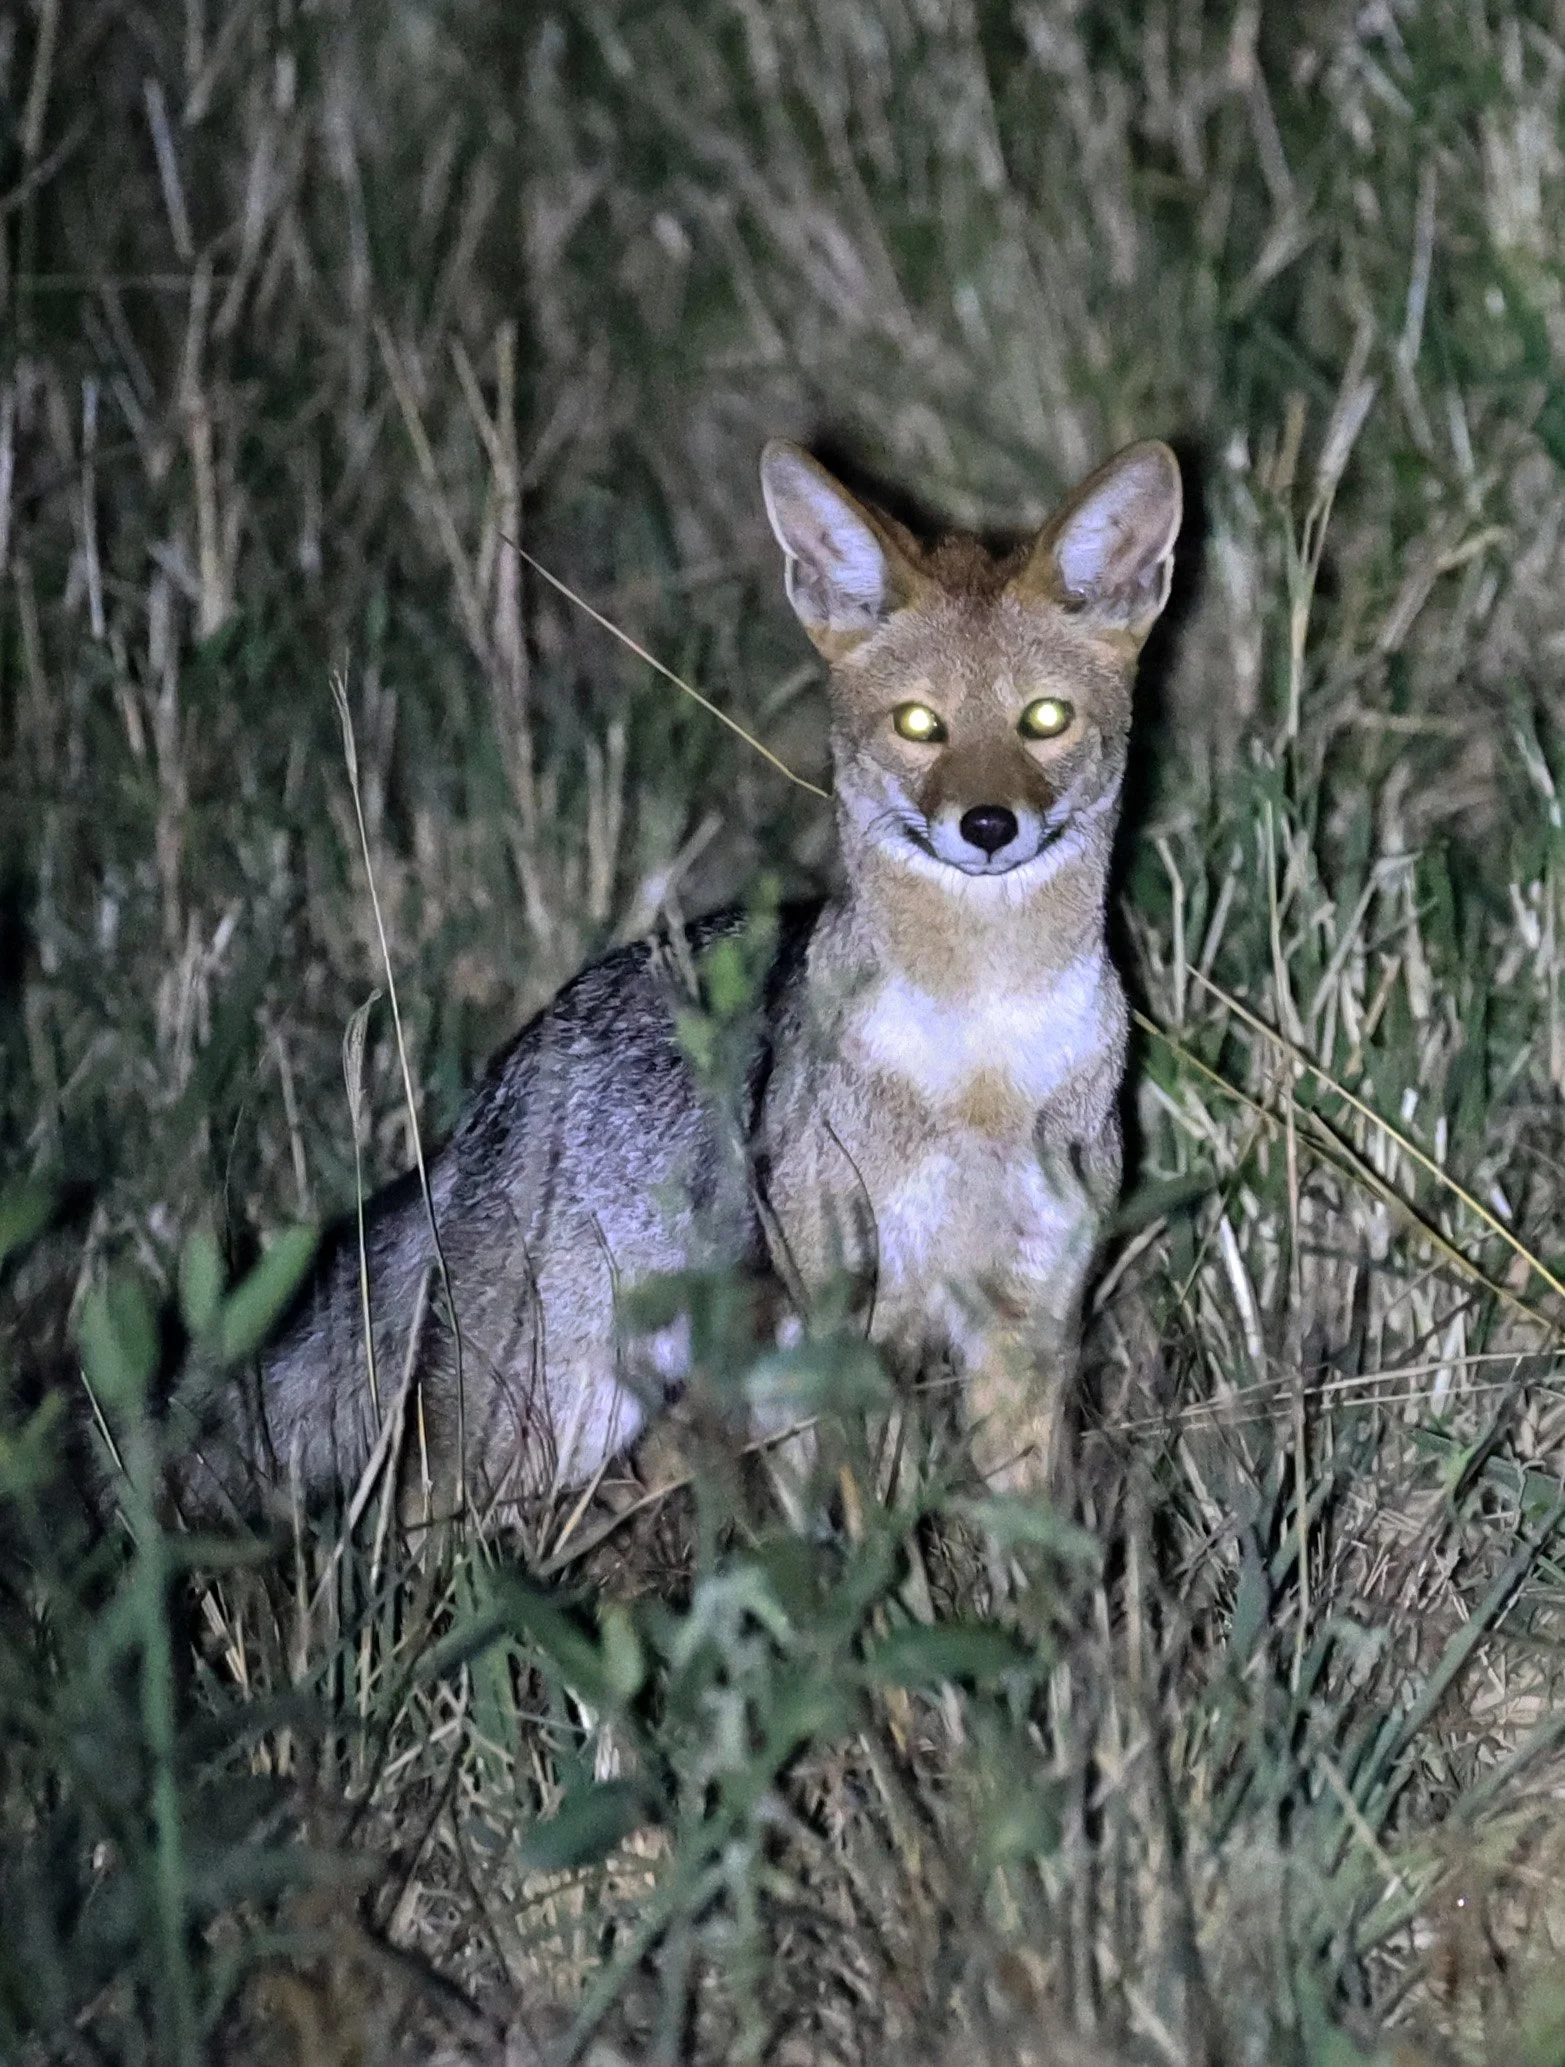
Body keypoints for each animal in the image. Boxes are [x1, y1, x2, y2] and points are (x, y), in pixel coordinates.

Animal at [175, 435, 1182, 1520]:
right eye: (920, 725)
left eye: (1043, 719)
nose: (988, 826)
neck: (980, 1055)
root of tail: (492, 1096)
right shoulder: (838, 1329)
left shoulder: (1026, 1330)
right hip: (544, 1425)